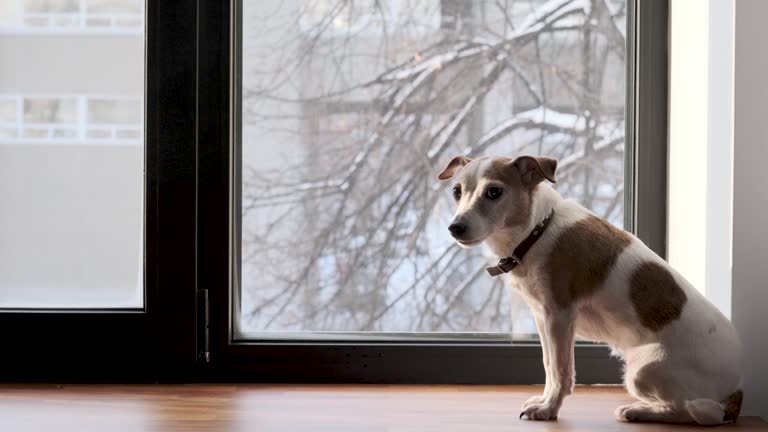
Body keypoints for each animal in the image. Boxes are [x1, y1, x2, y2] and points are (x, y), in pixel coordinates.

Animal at [438, 154, 744, 424]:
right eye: (456, 192)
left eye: (494, 192)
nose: (455, 228)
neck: (537, 230)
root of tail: (736, 389)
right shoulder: (542, 317)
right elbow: (548, 366)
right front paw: (543, 401)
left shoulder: (559, 317)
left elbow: (561, 371)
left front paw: (549, 410)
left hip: (641, 370)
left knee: (695, 412)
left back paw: (638, 411)